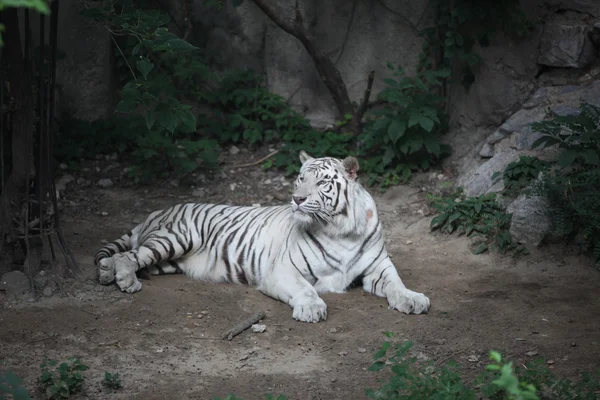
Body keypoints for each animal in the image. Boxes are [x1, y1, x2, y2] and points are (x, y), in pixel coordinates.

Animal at [95, 152, 432, 324]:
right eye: (300, 178)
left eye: (322, 182)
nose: (296, 198)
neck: (341, 229)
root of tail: (157, 210)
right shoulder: (283, 271)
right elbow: (306, 289)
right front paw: (312, 309)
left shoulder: (378, 267)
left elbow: (396, 284)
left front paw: (413, 299)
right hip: (175, 238)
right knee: (128, 255)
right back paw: (123, 279)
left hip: (169, 261)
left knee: (131, 257)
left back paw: (108, 273)